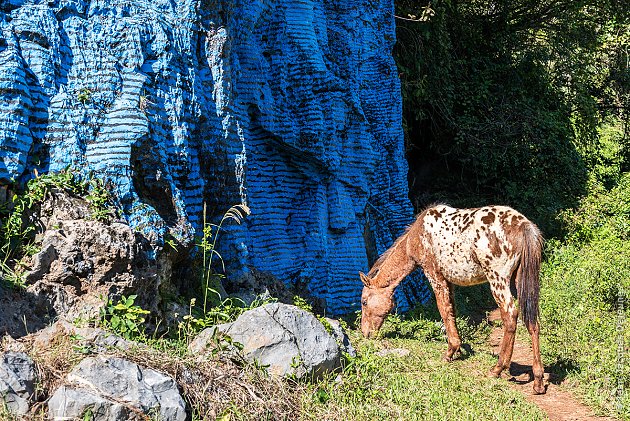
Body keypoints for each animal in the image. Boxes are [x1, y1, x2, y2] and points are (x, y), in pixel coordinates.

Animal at [360, 203, 548, 394]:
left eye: (364, 301)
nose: (365, 332)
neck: (414, 239)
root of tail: (524, 225)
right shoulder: (449, 282)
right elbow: (452, 311)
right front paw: (458, 350)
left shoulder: (435, 276)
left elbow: (444, 311)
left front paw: (450, 351)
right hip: (522, 279)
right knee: (532, 322)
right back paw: (538, 381)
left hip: (498, 280)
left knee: (510, 317)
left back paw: (497, 369)